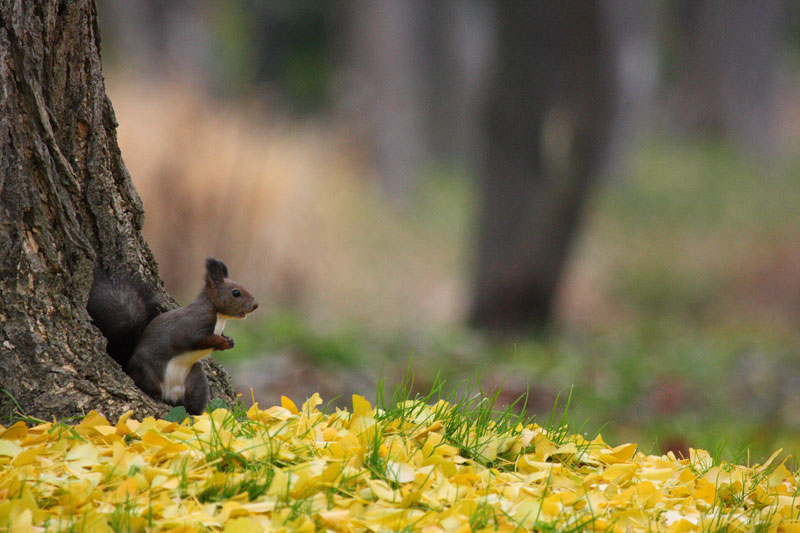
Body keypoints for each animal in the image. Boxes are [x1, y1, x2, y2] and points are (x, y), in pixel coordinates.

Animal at [88, 258, 258, 416]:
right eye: (236, 293)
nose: (255, 305)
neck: (220, 317)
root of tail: (171, 395)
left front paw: (229, 341)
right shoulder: (192, 325)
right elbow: (198, 338)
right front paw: (222, 341)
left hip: (196, 381)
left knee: (192, 402)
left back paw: (194, 412)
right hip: (147, 371)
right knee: (149, 385)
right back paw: (155, 396)